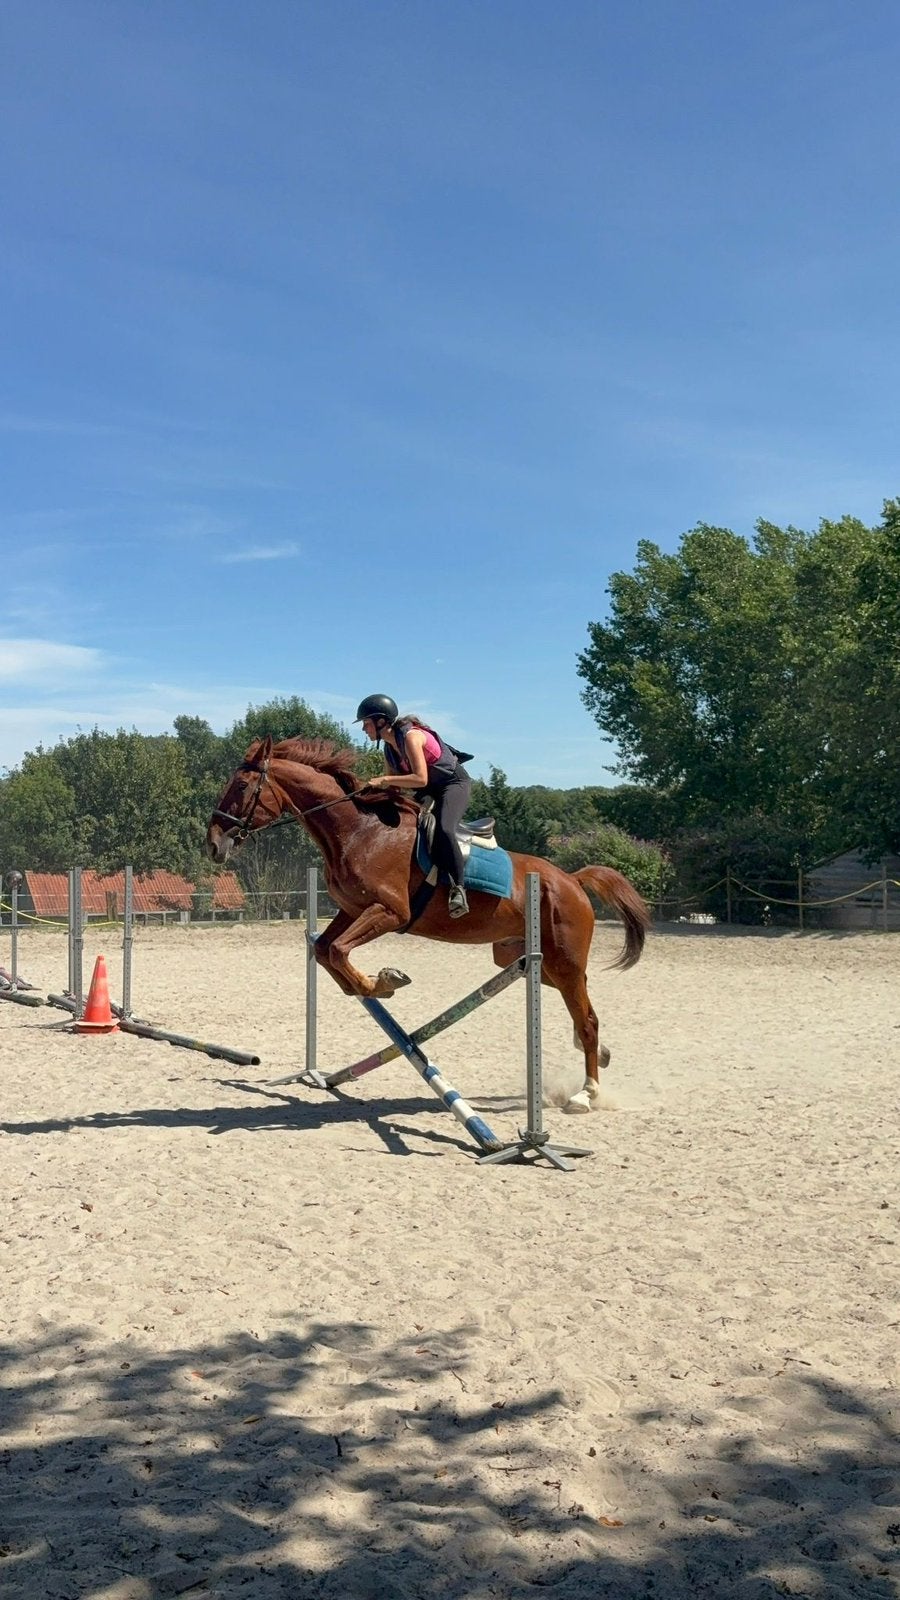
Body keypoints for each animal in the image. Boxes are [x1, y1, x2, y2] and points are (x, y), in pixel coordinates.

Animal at [206, 736, 649, 1112]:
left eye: (241, 786)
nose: (213, 844)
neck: (359, 830)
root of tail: (571, 879)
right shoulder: (351, 910)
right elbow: (324, 949)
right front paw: (371, 985)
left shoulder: (390, 912)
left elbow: (337, 950)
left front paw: (383, 982)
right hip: (523, 958)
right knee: (581, 1007)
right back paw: (600, 1055)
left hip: (561, 958)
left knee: (586, 1018)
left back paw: (587, 1094)